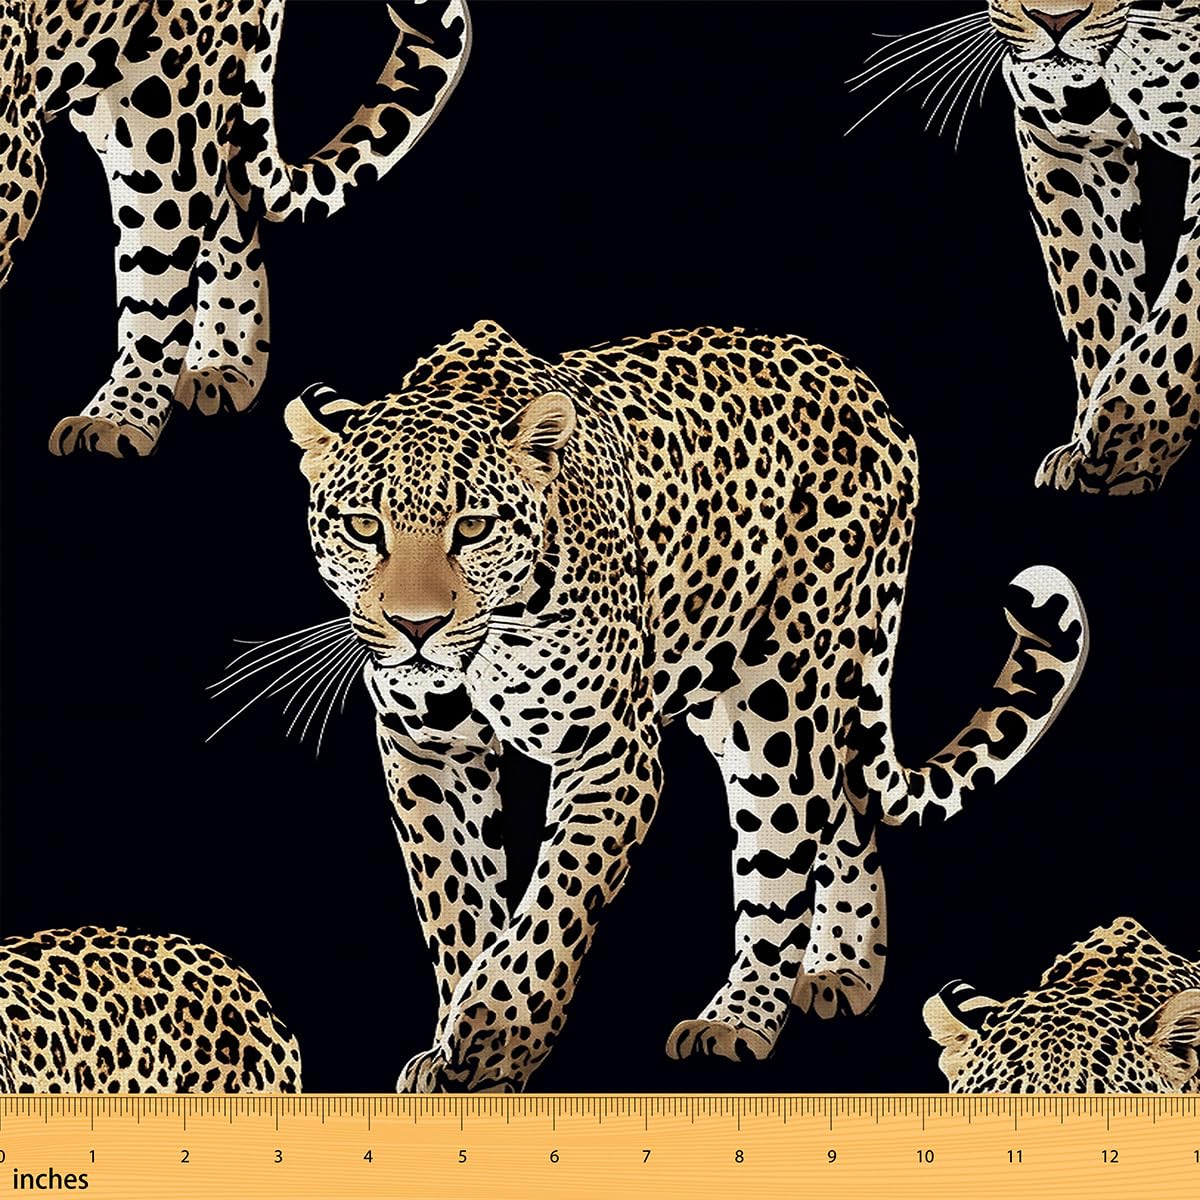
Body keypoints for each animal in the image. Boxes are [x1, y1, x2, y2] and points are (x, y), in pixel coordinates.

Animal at [0, 0, 469, 458]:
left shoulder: (14, 148)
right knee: (228, 210)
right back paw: (221, 368)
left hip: (165, 110)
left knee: (164, 269)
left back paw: (120, 419)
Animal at [276, 319, 1090, 1093]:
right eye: (363, 527)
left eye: (473, 527)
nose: (415, 628)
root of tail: (867, 389)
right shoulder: (427, 748)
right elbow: (459, 904)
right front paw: (458, 1047)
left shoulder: (608, 754)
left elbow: (552, 908)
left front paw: (492, 1038)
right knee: (845, 799)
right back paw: (842, 971)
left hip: (780, 697)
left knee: (786, 847)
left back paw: (739, 1021)